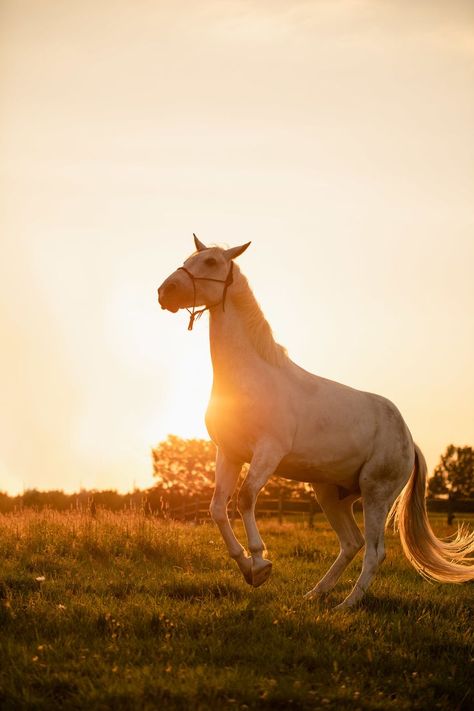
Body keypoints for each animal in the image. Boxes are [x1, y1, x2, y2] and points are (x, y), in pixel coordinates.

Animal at [158, 236, 474, 608]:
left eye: (210, 263)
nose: (165, 292)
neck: (251, 376)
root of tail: (411, 442)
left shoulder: (268, 452)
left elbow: (245, 499)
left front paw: (260, 562)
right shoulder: (230, 454)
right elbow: (218, 508)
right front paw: (248, 568)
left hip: (376, 494)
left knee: (375, 551)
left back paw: (346, 605)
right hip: (330, 495)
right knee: (351, 542)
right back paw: (314, 594)